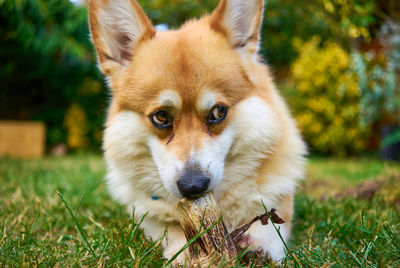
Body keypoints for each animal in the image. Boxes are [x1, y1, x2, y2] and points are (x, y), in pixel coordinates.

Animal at [87, 0, 306, 264]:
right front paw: (184, 251)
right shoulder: (147, 217)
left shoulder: (279, 200)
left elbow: (270, 221)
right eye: (161, 116)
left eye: (218, 112)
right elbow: (168, 228)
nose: (193, 187)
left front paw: (260, 244)